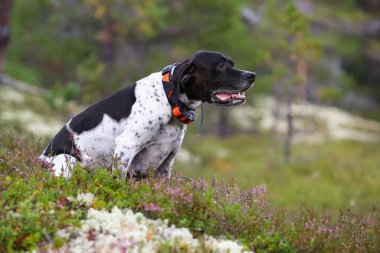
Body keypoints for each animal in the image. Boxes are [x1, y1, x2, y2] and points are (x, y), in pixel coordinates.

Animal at [38, 50, 255, 179]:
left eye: (231, 62)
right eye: (220, 65)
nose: (252, 75)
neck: (168, 98)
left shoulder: (166, 164)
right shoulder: (125, 147)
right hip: (69, 161)